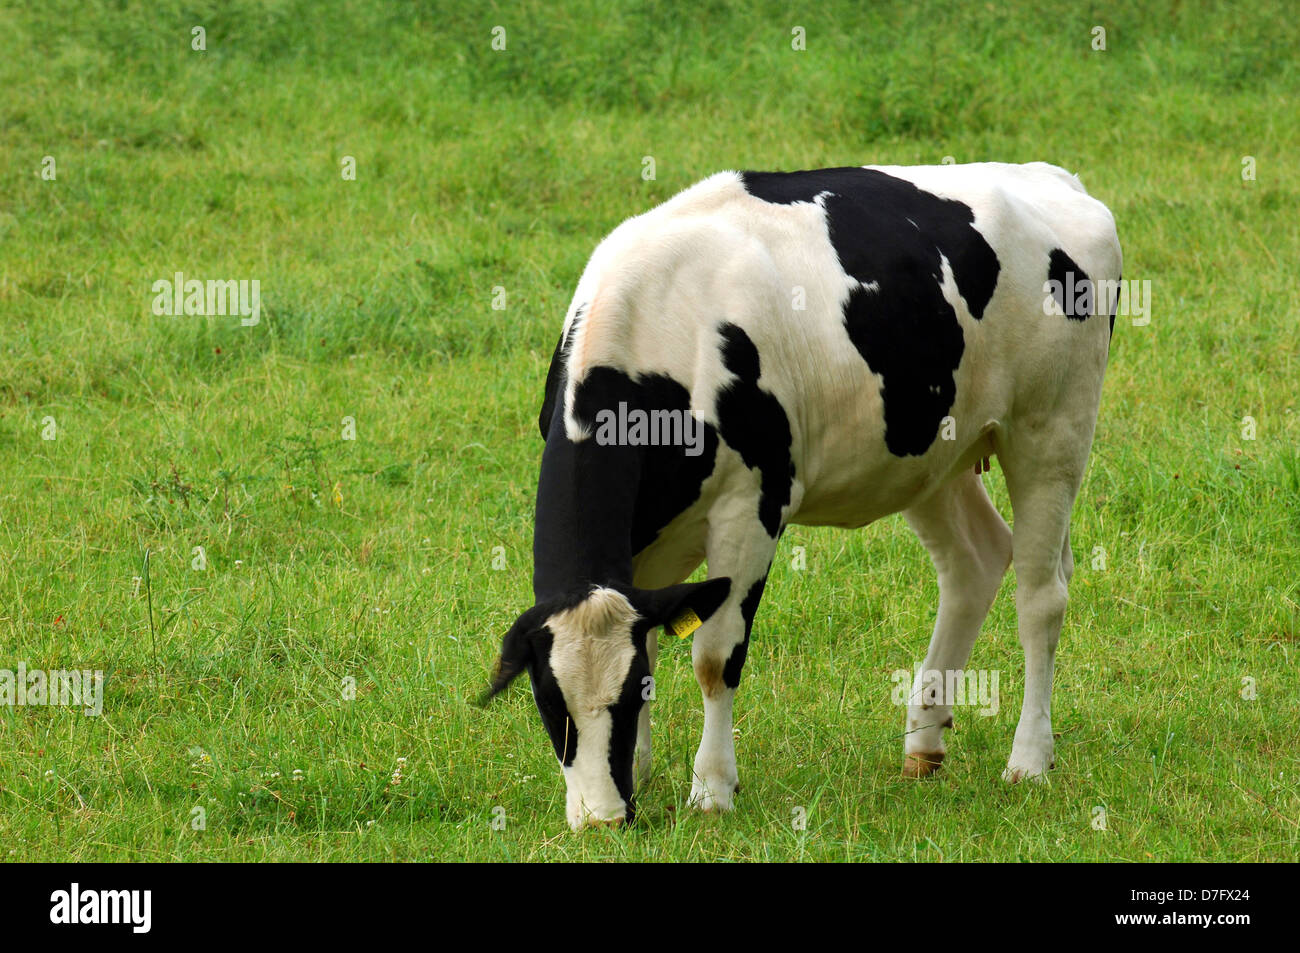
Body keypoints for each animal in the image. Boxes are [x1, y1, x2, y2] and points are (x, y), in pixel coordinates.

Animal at [480, 162, 1122, 830]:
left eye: (625, 699)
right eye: (550, 706)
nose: (602, 820)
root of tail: (1051, 178)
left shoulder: (752, 508)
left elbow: (714, 658)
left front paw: (712, 790)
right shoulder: (646, 545)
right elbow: (651, 639)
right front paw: (646, 773)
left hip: (1052, 429)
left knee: (1040, 597)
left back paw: (1029, 759)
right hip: (932, 453)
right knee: (974, 563)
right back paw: (923, 741)